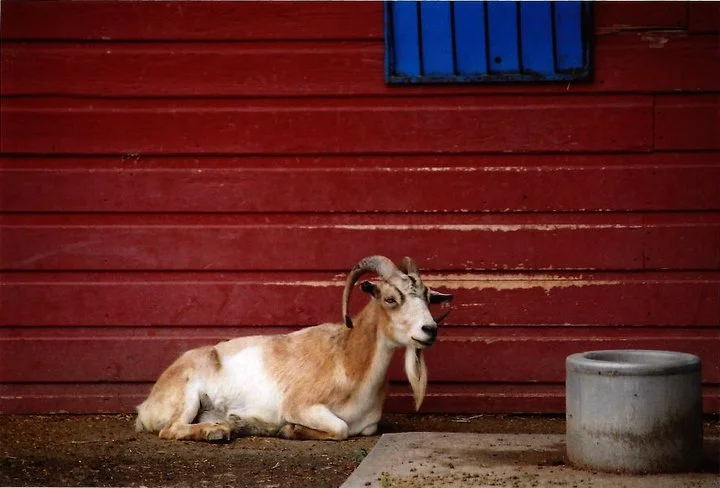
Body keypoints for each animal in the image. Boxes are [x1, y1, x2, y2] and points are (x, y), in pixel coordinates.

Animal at [135, 255, 453, 442]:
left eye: (427, 297)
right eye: (390, 298)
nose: (429, 330)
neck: (348, 363)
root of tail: (145, 407)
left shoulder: (369, 425)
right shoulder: (300, 405)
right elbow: (340, 429)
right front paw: (289, 429)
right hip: (187, 397)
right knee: (170, 429)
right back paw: (218, 431)